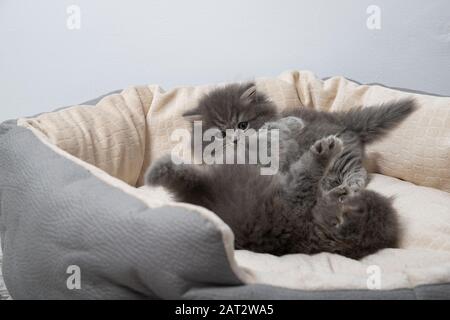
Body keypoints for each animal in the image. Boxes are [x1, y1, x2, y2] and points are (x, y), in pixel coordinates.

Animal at [146, 136, 400, 260]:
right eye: (345, 199)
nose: (345, 192)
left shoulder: (295, 194)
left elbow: (309, 170)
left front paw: (325, 152)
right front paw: (337, 187)